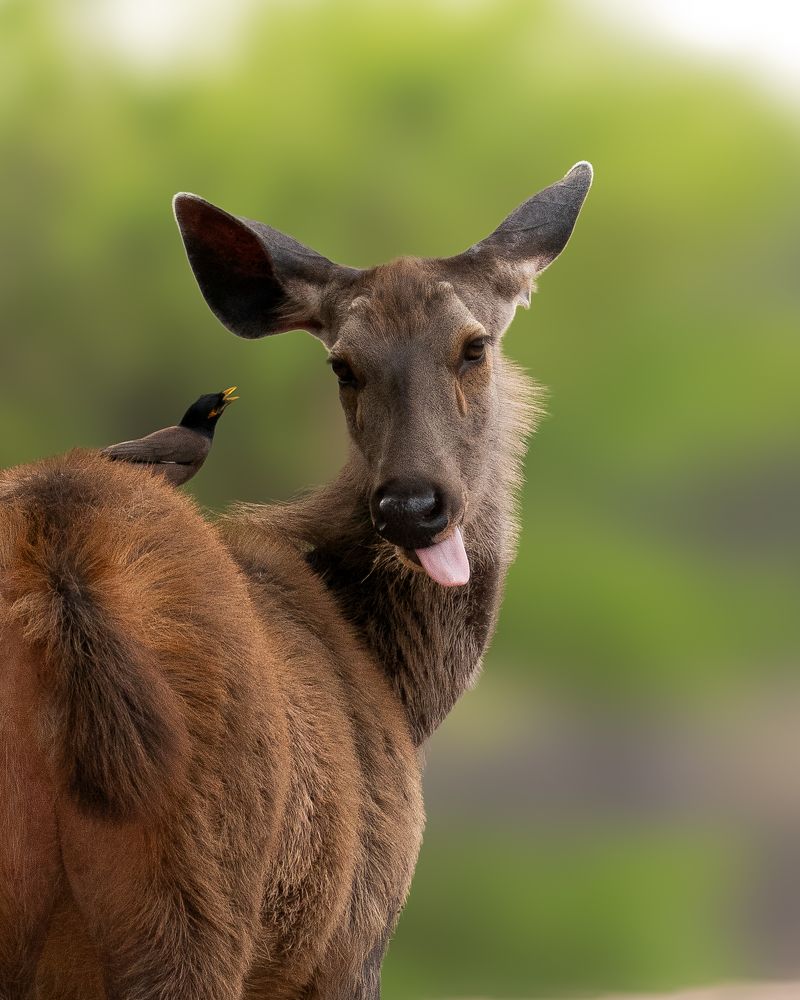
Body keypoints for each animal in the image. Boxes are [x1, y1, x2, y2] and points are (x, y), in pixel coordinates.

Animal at [0, 162, 592, 999]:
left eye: (474, 346)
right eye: (343, 364)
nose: (411, 504)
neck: (400, 684)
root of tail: (58, 551)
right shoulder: (354, 940)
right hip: (194, 898)